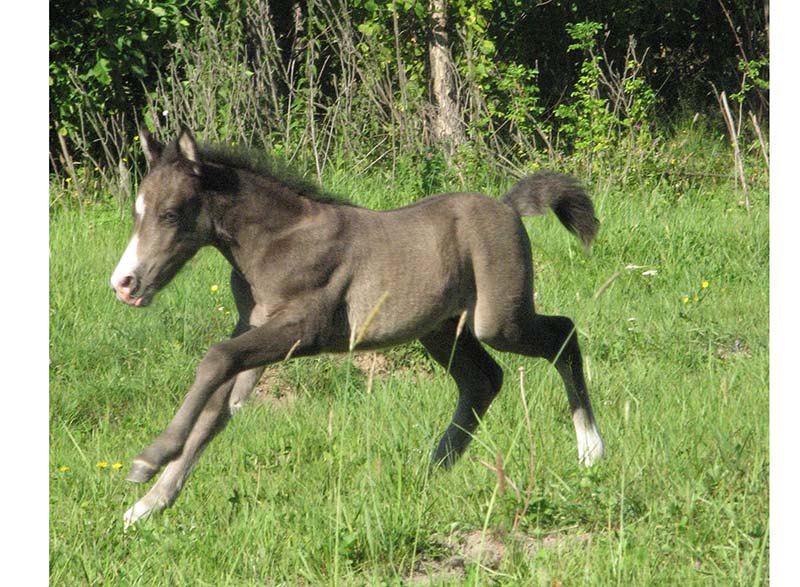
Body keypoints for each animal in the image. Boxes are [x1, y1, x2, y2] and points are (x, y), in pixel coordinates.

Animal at [109, 127, 604, 524]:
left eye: (171, 213)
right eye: (136, 212)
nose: (125, 284)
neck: (278, 242)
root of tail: (507, 207)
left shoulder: (301, 331)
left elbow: (214, 360)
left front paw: (149, 459)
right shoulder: (251, 330)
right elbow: (216, 408)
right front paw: (148, 505)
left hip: (497, 321)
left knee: (562, 334)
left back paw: (590, 449)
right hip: (442, 331)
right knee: (483, 381)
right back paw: (430, 471)